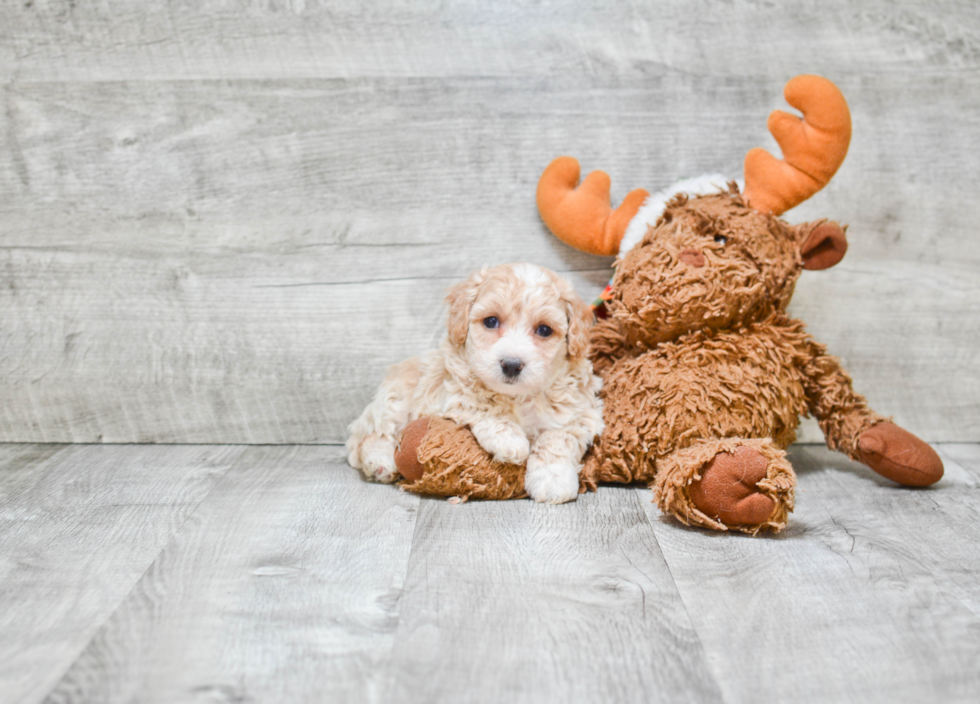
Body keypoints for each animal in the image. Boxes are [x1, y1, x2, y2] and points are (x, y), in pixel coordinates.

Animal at [344, 262, 604, 504]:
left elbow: (558, 437)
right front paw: (508, 439)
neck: (517, 396)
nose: (511, 364)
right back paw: (380, 462)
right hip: (395, 399)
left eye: (544, 330)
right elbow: (482, 402)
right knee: (371, 436)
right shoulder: (450, 387)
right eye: (491, 321)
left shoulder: (579, 412)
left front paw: (552, 480)